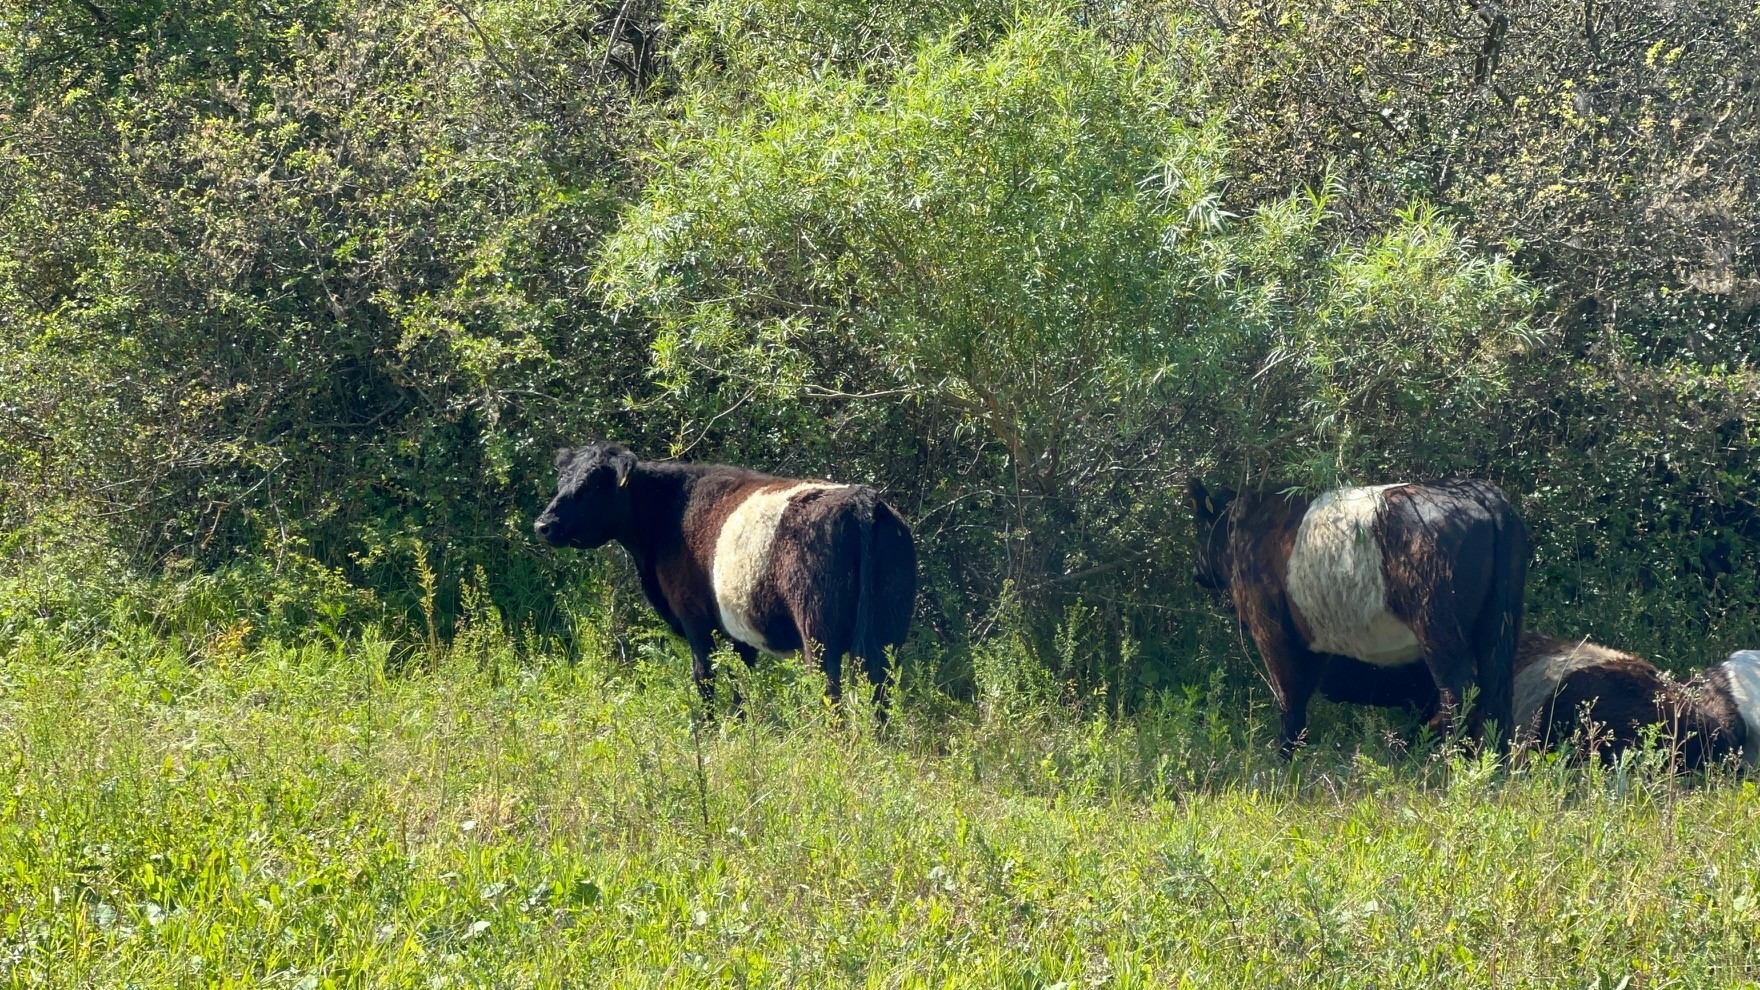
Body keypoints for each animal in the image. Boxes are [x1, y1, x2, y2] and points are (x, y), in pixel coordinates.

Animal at [534, 442, 917, 715]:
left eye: (592, 485)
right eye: (562, 481)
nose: (543, 525)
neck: (668, 509)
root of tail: (861, 499)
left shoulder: (695, 618)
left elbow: (705, 677)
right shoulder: (738, 634)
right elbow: (740, 685)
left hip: (817, 631)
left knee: (830, 692)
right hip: (889, 633)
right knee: (881, 690)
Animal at [1189, 478, 1528, 754]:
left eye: (1199, 528)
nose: (1197, 572)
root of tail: (1480, 493)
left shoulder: (1271, 629)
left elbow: (1288, 696)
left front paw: (1283, 760)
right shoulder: (1313, 640)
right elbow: (1301, 696)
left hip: (1438, 626)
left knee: (1459, 689)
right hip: (1499, 624)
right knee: (1497, 689)